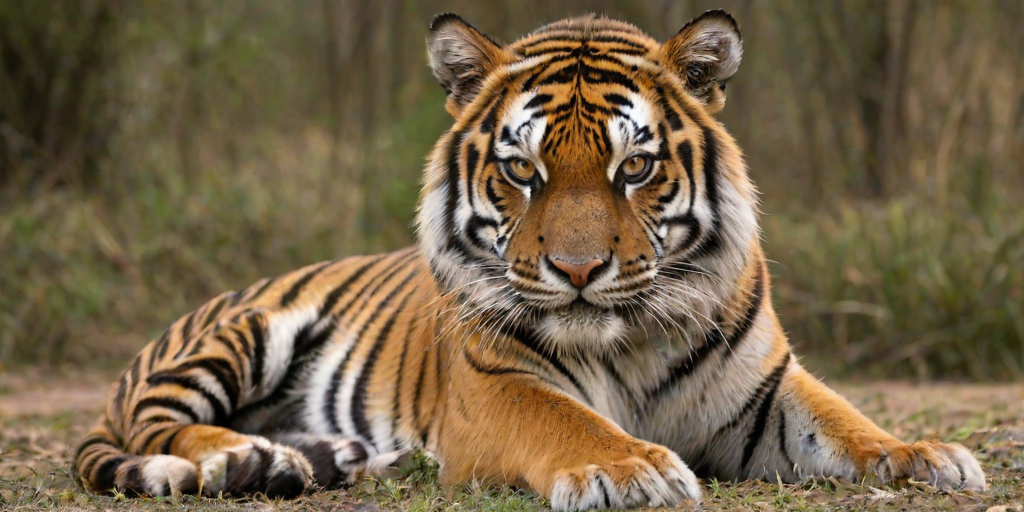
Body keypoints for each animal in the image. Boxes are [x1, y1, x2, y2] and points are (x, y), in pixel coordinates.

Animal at [73, 10, 986, 511]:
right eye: (522, 170)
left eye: (635, 167)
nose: (578, 272)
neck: (630, 341)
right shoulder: (498, 387)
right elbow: (568, 420)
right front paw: (632, 469)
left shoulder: (765, 390)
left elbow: (847, 421)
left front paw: (925, 455)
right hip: (237, 335)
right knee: (157, 423)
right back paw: (241, 457)